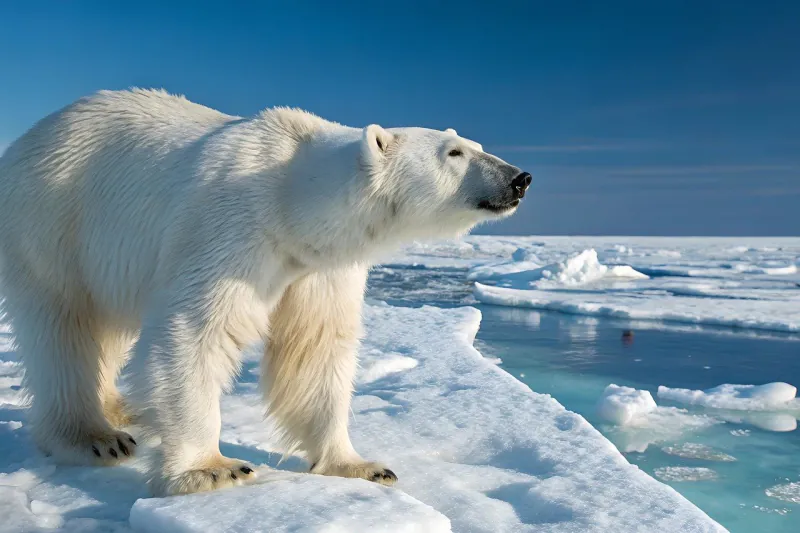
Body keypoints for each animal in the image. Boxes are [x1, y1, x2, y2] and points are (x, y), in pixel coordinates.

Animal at [0, 90, 532, 494]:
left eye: (475, 144)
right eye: (454, 153)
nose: (520, 177)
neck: (292, 200)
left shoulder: (318, 268)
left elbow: (316, 348)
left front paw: (363, 465)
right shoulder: (231, 229)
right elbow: (196, 330)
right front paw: (212, 468)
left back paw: (122, 408)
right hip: (52, 220)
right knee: (63, 328)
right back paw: (95, 436)